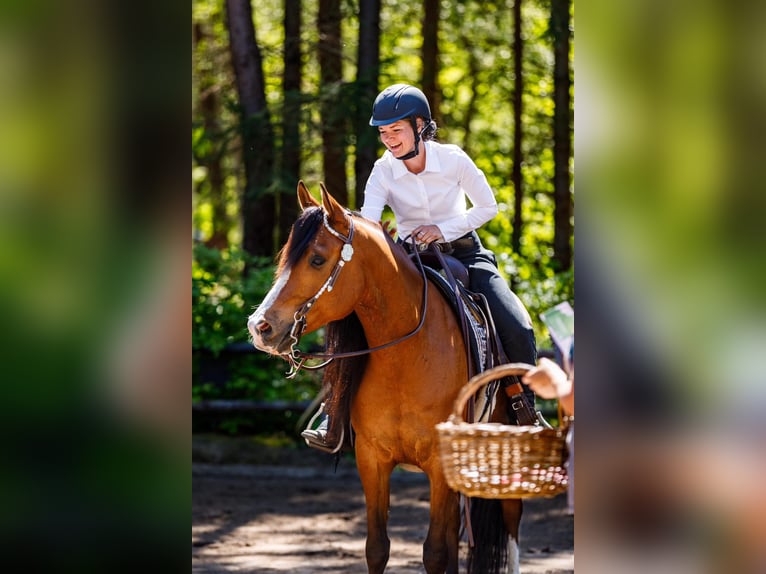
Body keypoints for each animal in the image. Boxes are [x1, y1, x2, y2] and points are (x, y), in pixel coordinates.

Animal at [247, 181, 523, 574]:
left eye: (317, 259)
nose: (260, 327)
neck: (406, 358)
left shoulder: (439, 463)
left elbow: (435, 552)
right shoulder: (372, 459)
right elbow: (378, 547)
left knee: (511, 520)